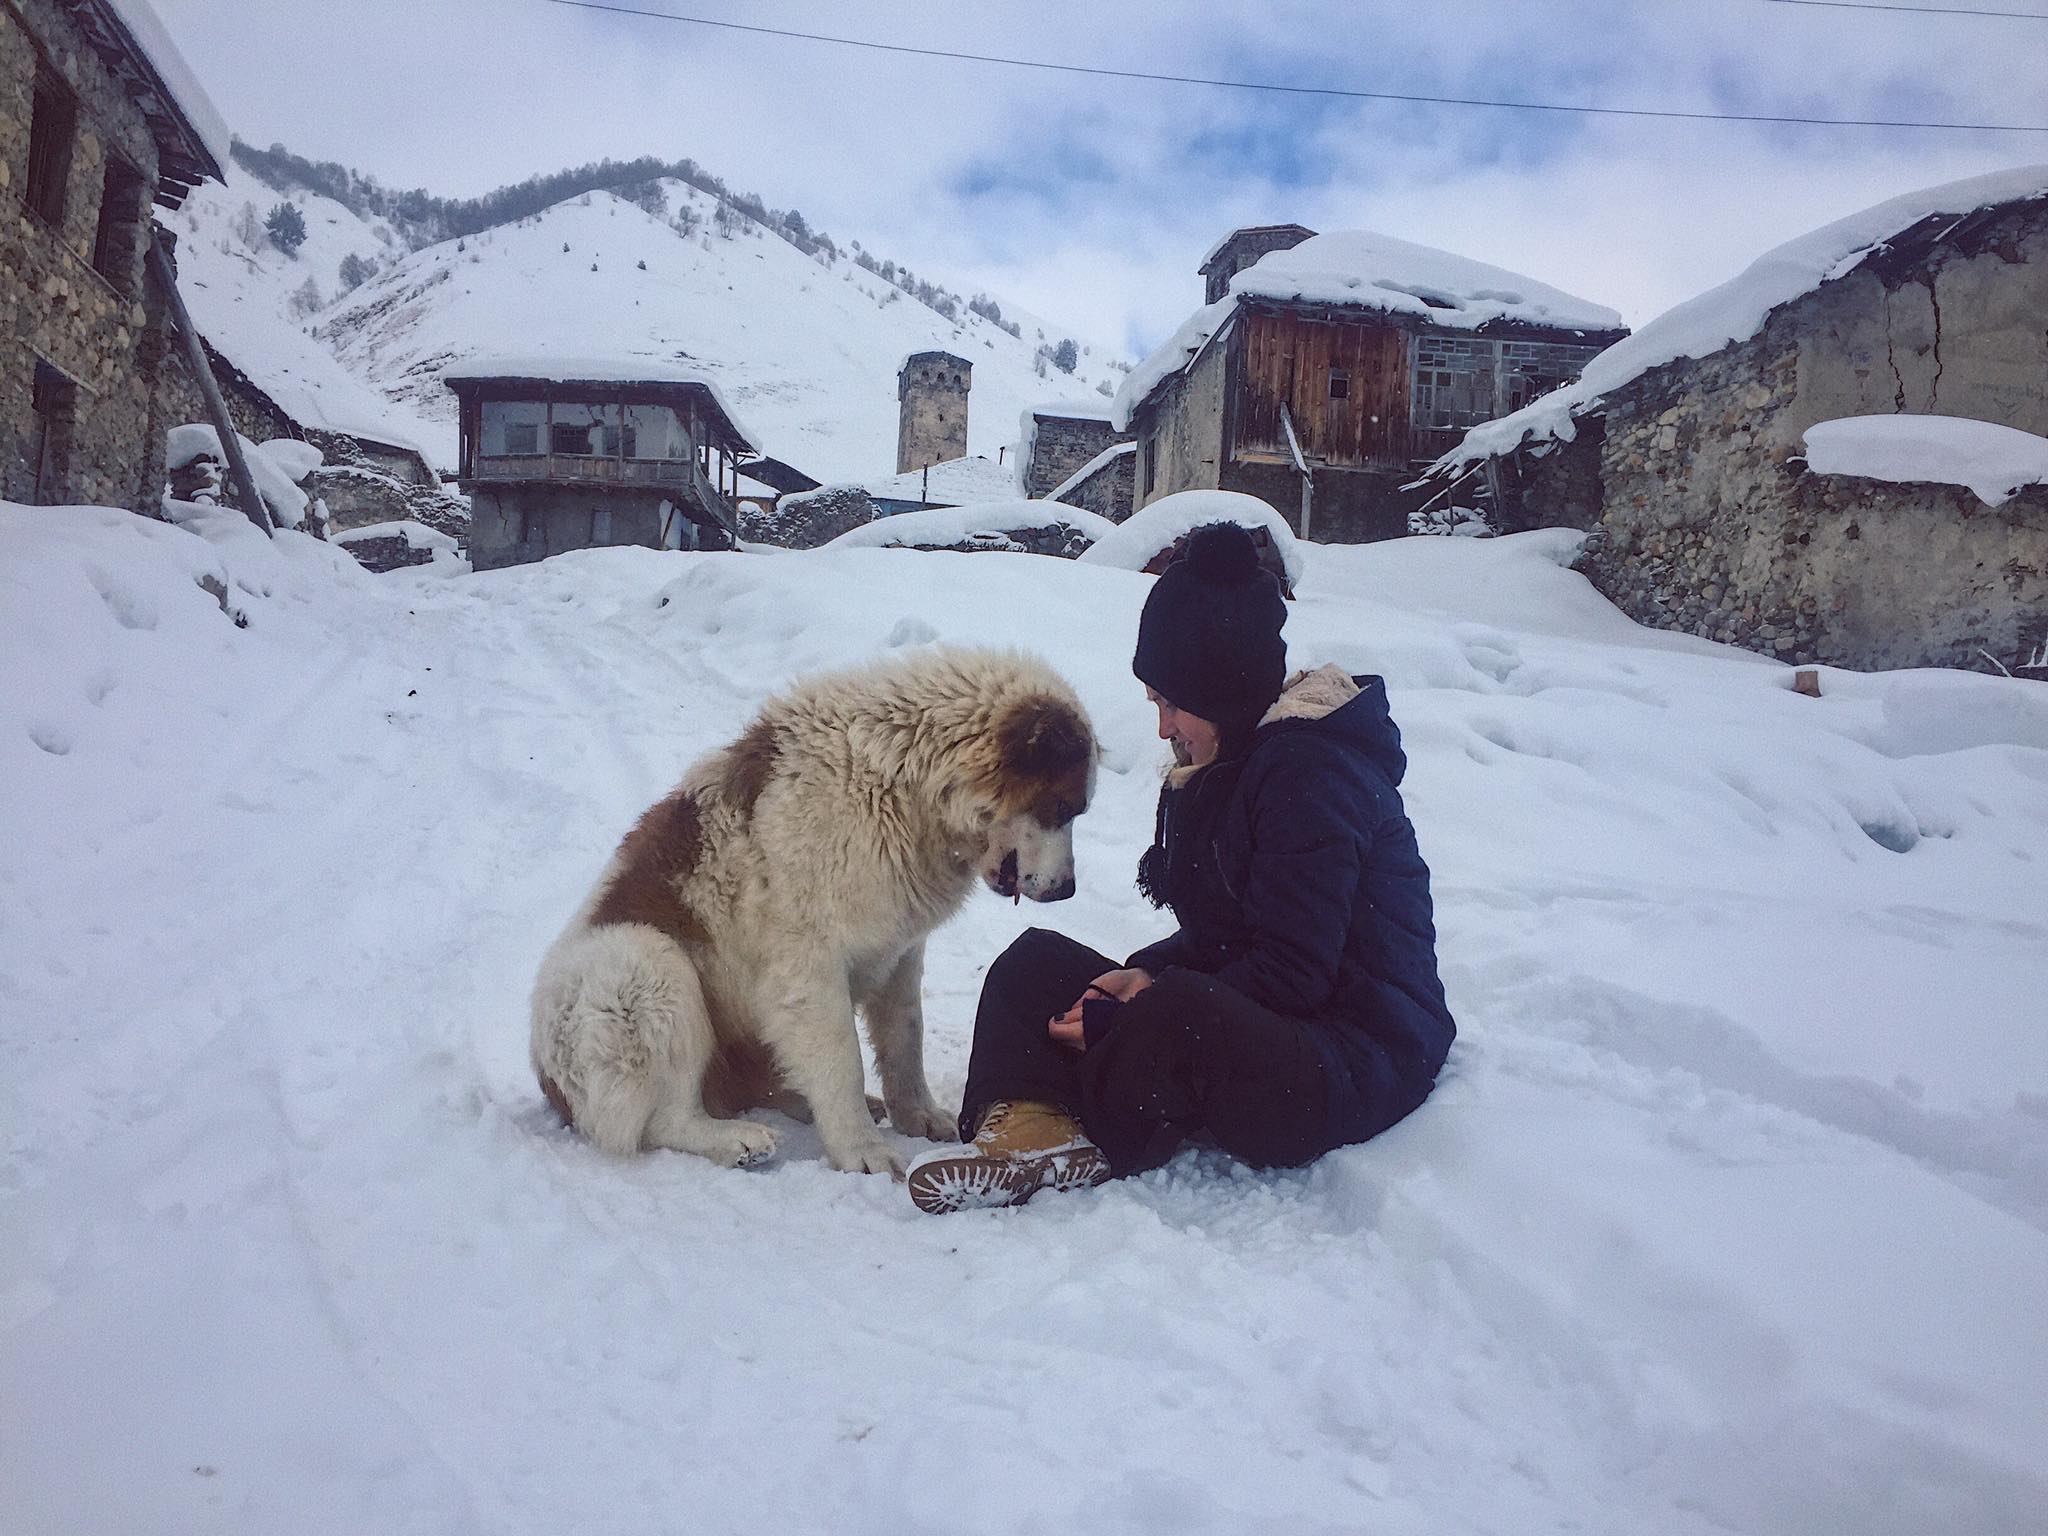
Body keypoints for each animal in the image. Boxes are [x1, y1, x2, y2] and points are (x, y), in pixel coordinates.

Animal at [536, 651, 1097, 1179]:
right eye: (1061, 808)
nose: (1068, 890)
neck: (901, 785)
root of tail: (545, 1071)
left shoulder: (900, 952)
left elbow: (904, 1039)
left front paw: (915, 1115)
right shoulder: (809, 968)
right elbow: (841, 1061)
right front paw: (862, 1150)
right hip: (643, 961)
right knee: (662, 1117)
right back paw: (737, 1140)